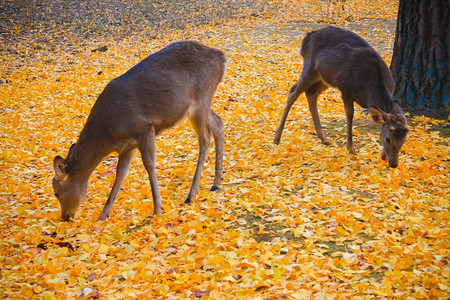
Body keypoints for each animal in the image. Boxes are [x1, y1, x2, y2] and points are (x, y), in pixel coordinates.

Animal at [53, 40, 227, 220]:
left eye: (56, 193)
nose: (65, 217)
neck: (108, 135)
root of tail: (222, 58)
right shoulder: (127, 146)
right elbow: (120, 173)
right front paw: (103, 215)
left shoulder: (144, 129)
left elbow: (149, 165)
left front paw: (157, 209)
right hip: (199, 106)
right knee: (218, 123)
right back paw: (216, 183)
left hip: (201, 99)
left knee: (205, 138)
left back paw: (191, 195)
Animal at [274, 26, 408, 168]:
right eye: (388, 139)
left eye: (403, 140)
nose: (393, 164)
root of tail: (307, 38)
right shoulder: (346, 89)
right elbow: (350, 115)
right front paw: (351, 149)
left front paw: (382, 155)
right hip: (309, 67)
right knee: (293, 92)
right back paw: (276, 138)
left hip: (324, 78)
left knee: (311, 93)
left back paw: (324, 139)